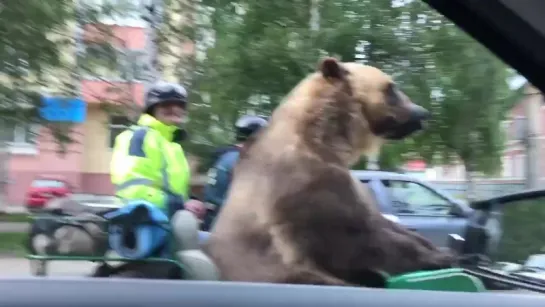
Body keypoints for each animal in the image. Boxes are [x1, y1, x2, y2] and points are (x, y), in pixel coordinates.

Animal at [206, 56, 452, 288]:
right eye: (390, 88)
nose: (422, 113)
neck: (327, 139)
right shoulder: (305, 183)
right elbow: (354, 236)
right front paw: (442, 256)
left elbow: (382, 222)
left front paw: (433, 246)